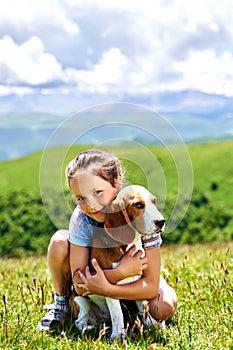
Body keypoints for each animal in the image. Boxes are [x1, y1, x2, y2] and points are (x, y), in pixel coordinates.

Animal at [73, 185, 165, 340]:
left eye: (154, 201)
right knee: (79, 321)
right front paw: (118, 335)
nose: (161, 221)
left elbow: (143, 306)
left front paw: (152, 323)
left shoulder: (139, 281)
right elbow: (117, 313)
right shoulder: (108, 286)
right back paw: (88, 327)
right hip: (80, 300)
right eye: (138, 205)